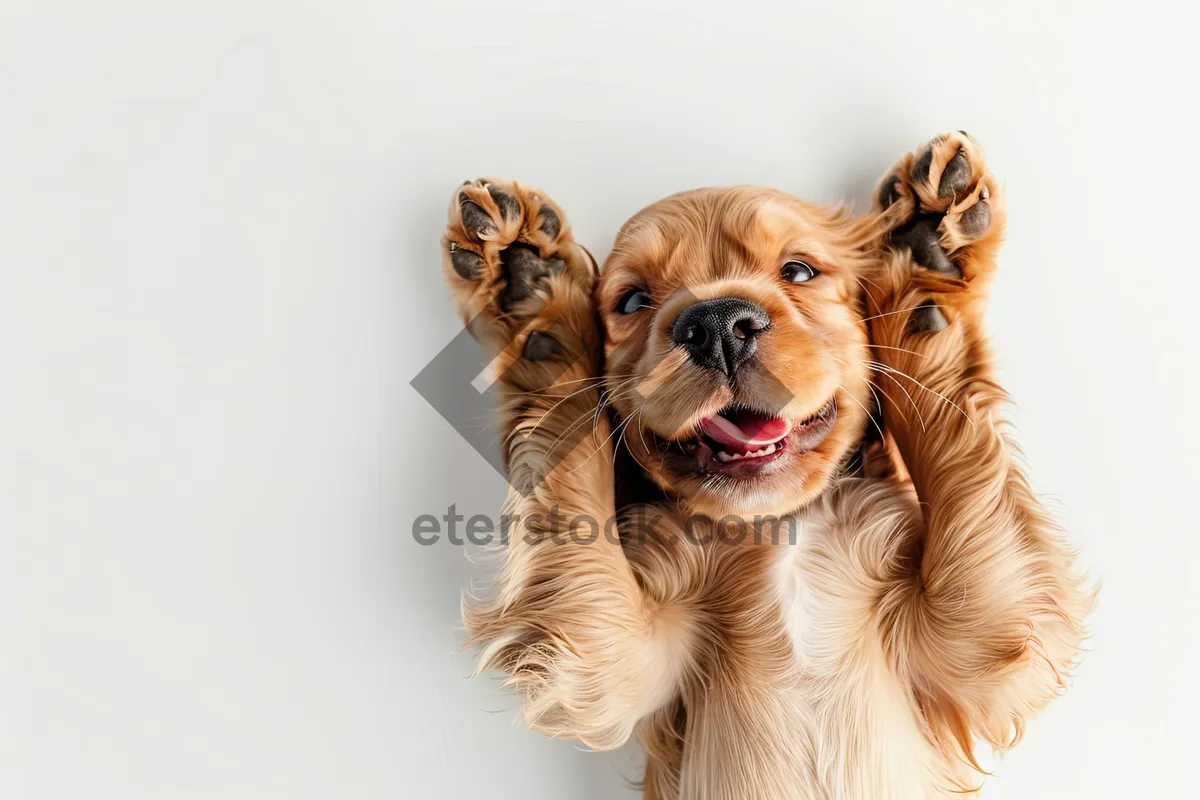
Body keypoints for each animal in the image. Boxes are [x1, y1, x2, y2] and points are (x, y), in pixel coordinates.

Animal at [439, 134, 1089, 796]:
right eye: (634, 300)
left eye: (798, 270)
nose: (717, 325)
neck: (780, 530)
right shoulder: (605, 659)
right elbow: (585, 573)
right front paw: (538, 312)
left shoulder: (982, 631)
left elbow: (964, 481)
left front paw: (926, 278)